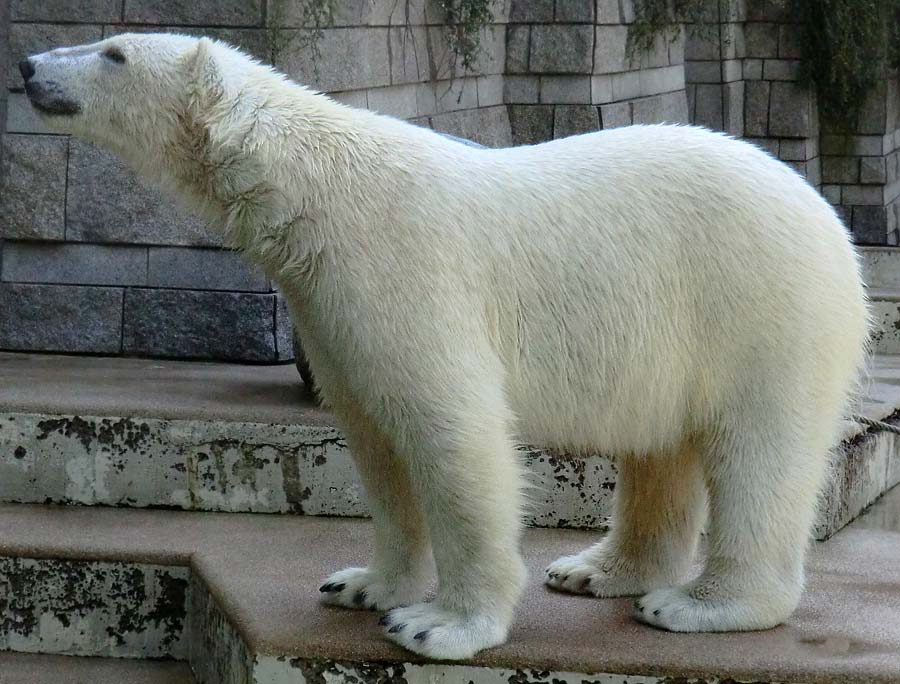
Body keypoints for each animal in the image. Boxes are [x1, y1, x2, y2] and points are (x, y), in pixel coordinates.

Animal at [21, 33, 872, 664]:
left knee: (760, 452)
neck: (314, 190)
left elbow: (452, 432)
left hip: (760, 307)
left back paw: (700, 605)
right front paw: (364, 585)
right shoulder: (327, 307)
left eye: (114, 52)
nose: (28, 66)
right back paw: (594, 570)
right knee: (659, 450)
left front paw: (438, 625)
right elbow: (373, 440)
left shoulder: (402, 271)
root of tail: (828, 219)